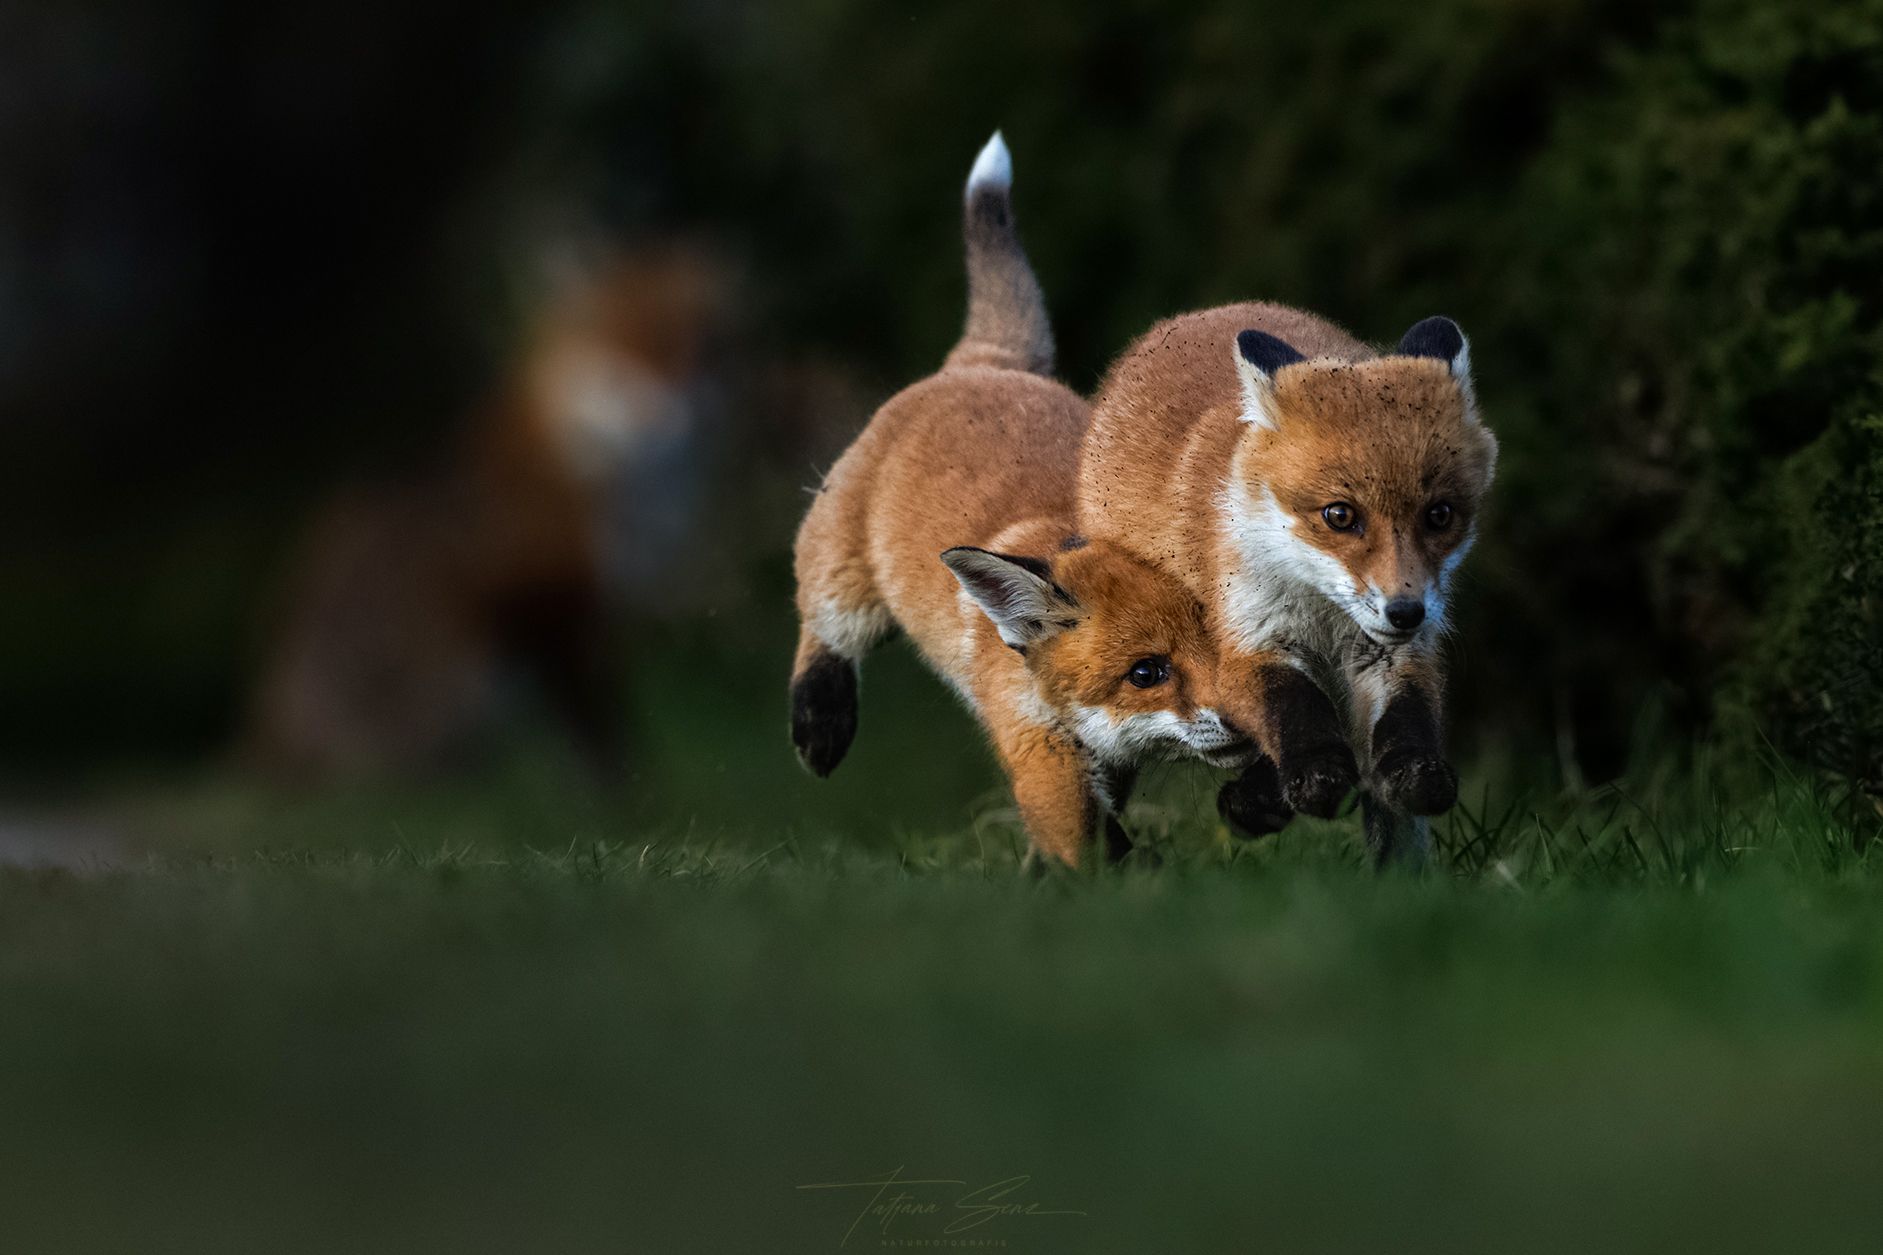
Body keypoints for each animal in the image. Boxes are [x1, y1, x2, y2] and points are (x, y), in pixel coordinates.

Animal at [790, 135, 1266, 867]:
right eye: (1146, 672)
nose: (1244, 719)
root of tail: (983, 364)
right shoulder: (1037, 743)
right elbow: (1081, 841)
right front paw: (1107, 882)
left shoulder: (1103, 757)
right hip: (849, 584)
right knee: (820, 623)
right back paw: (820, 723)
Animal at [1077, 303, 1498, 864]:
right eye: (1340, 515)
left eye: (1440, 515)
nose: (1405, 611)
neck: (1320, 607)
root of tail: (1203, 312)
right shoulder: (1246, 638)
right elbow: (1294, 710)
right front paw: (1316, 775)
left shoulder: (1393, 652)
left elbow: (1406, 720)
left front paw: (1415, 773)